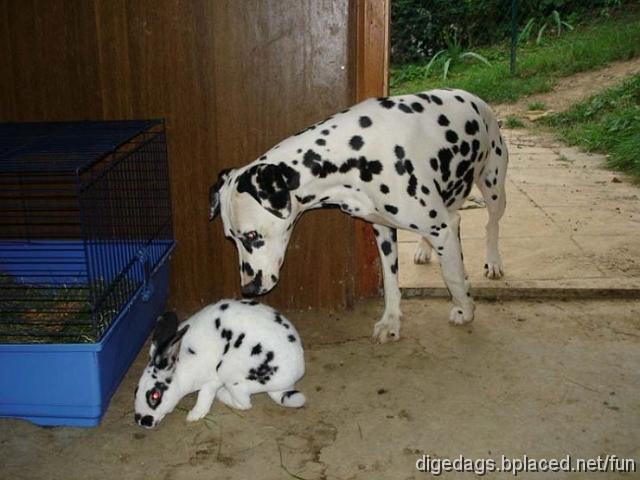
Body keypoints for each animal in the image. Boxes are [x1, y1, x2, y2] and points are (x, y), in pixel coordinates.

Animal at [132, 300, 304, 428]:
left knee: (245, 404)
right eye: (136, 390)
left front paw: (194, 415)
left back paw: (222, 395)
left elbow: (204, 395)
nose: (142, 420)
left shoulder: (213, 380)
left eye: (154, 395)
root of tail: (289, 381)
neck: (181, 367)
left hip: (230, 375)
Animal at [209, 89, 504, 344]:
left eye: (252, 235)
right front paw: (391, 321)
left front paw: (465, 309)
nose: (248, 289)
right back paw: (424, 249)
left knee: (491, 225)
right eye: (230, 238)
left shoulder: (441, 229)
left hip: (493, 189)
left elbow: (453, 274)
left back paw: (493, 262)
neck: (351, 153)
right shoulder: (383, 230)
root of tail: (475, 99)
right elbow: (391, 281)